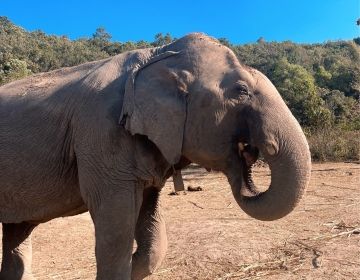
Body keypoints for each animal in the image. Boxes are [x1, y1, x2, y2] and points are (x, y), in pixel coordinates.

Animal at [0, 33, 312, 280]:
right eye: (241, 91)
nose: (251, 150)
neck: (159, 55)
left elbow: (152, 232)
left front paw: (135, 263)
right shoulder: (102, 134)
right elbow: (116, 232)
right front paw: (126, 263)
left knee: (18, 234)